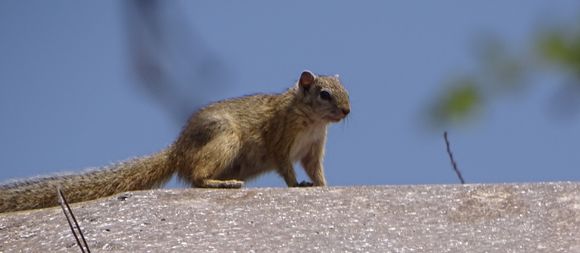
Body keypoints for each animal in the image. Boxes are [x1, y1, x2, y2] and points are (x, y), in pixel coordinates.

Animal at [0, 70, 348, 212]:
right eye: (323, 94)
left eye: (345, 91)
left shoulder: (313, 149)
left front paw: (322, 185)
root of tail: (177, 151)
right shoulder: (281, 137)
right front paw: (297, 185)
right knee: (196, 177)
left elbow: (315, 169)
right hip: (225, 140)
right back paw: (220, 183)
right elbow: (285, 167)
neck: (313, 121)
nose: (347, 111)